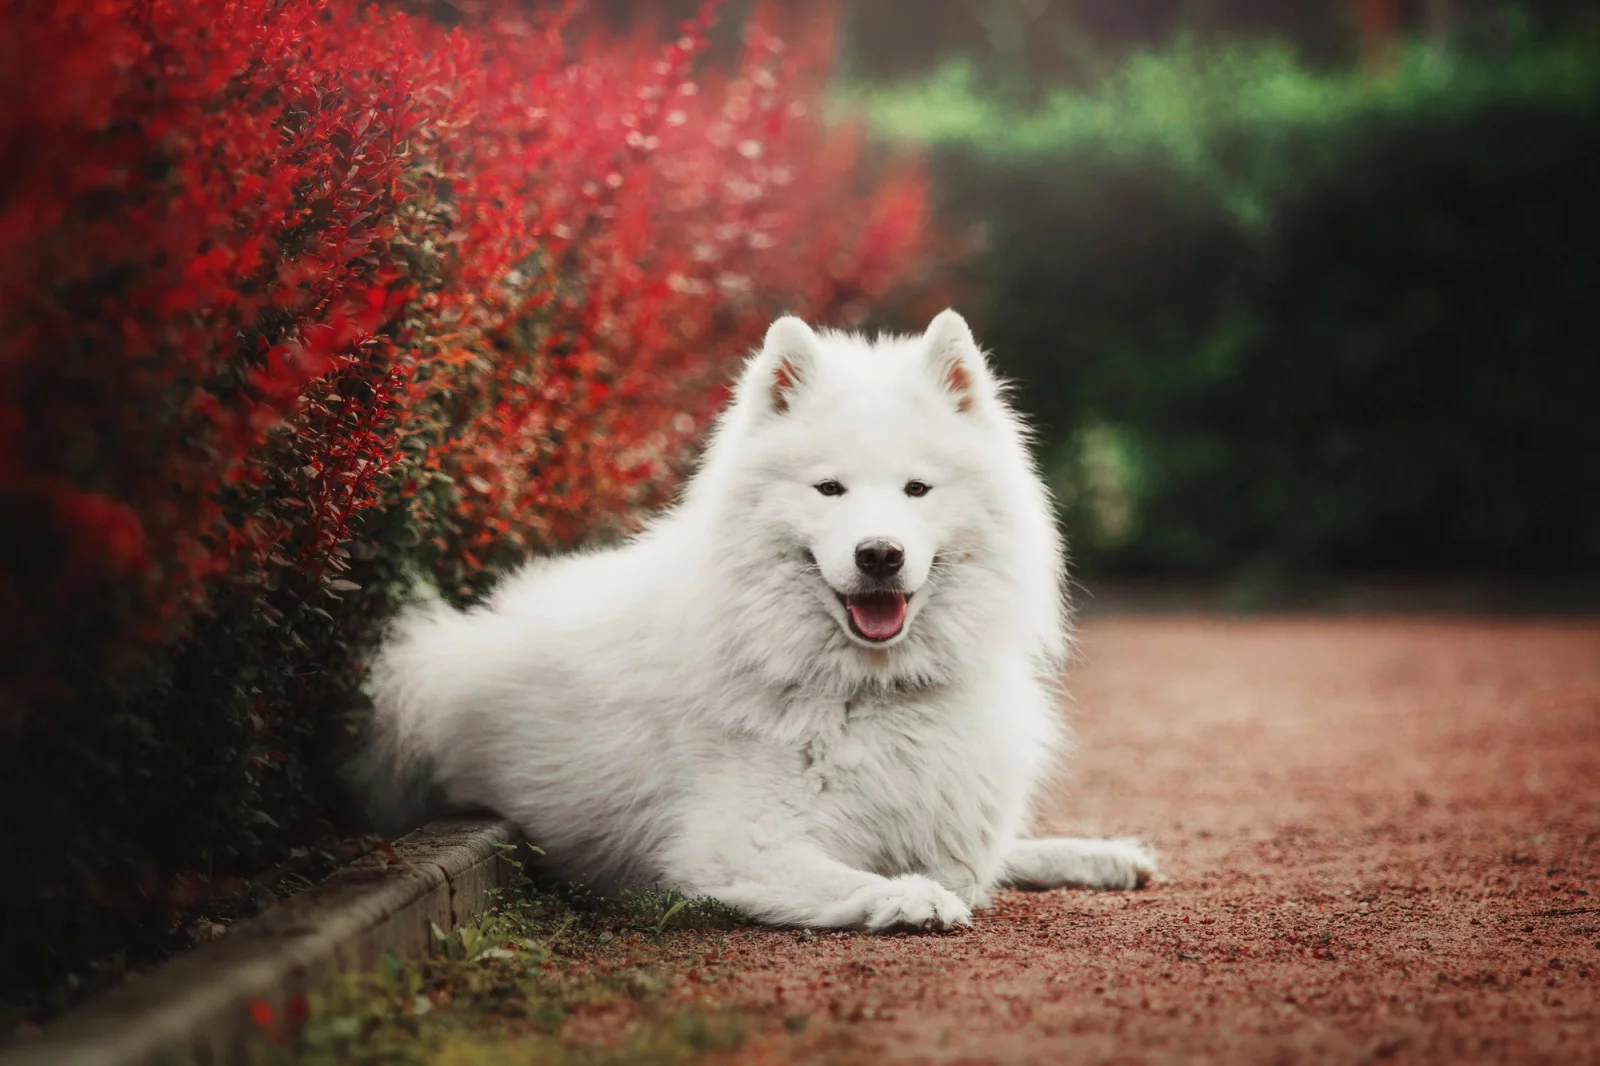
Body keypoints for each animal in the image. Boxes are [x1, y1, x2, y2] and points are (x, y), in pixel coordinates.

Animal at [366, 308, 1152, 928]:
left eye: (917, 489)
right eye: (829, 489)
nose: (879, 555)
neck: (867, 693)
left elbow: (992, 856)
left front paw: (1094, 854)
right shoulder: (732, 848)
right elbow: (860, 879)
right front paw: (912, 898)